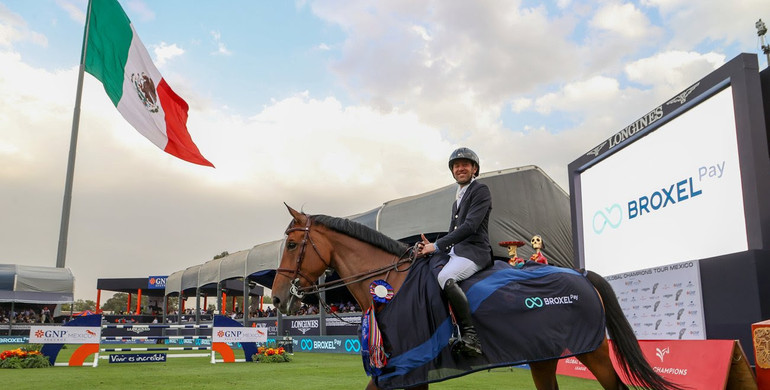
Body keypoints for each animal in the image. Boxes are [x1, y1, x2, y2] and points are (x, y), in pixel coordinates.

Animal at [272, 206, 680, 388]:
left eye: (292, 245)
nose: (276, 300)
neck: (390, 281)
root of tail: (580, 274)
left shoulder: (408, 364)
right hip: (543, 354)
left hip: (592, 350)